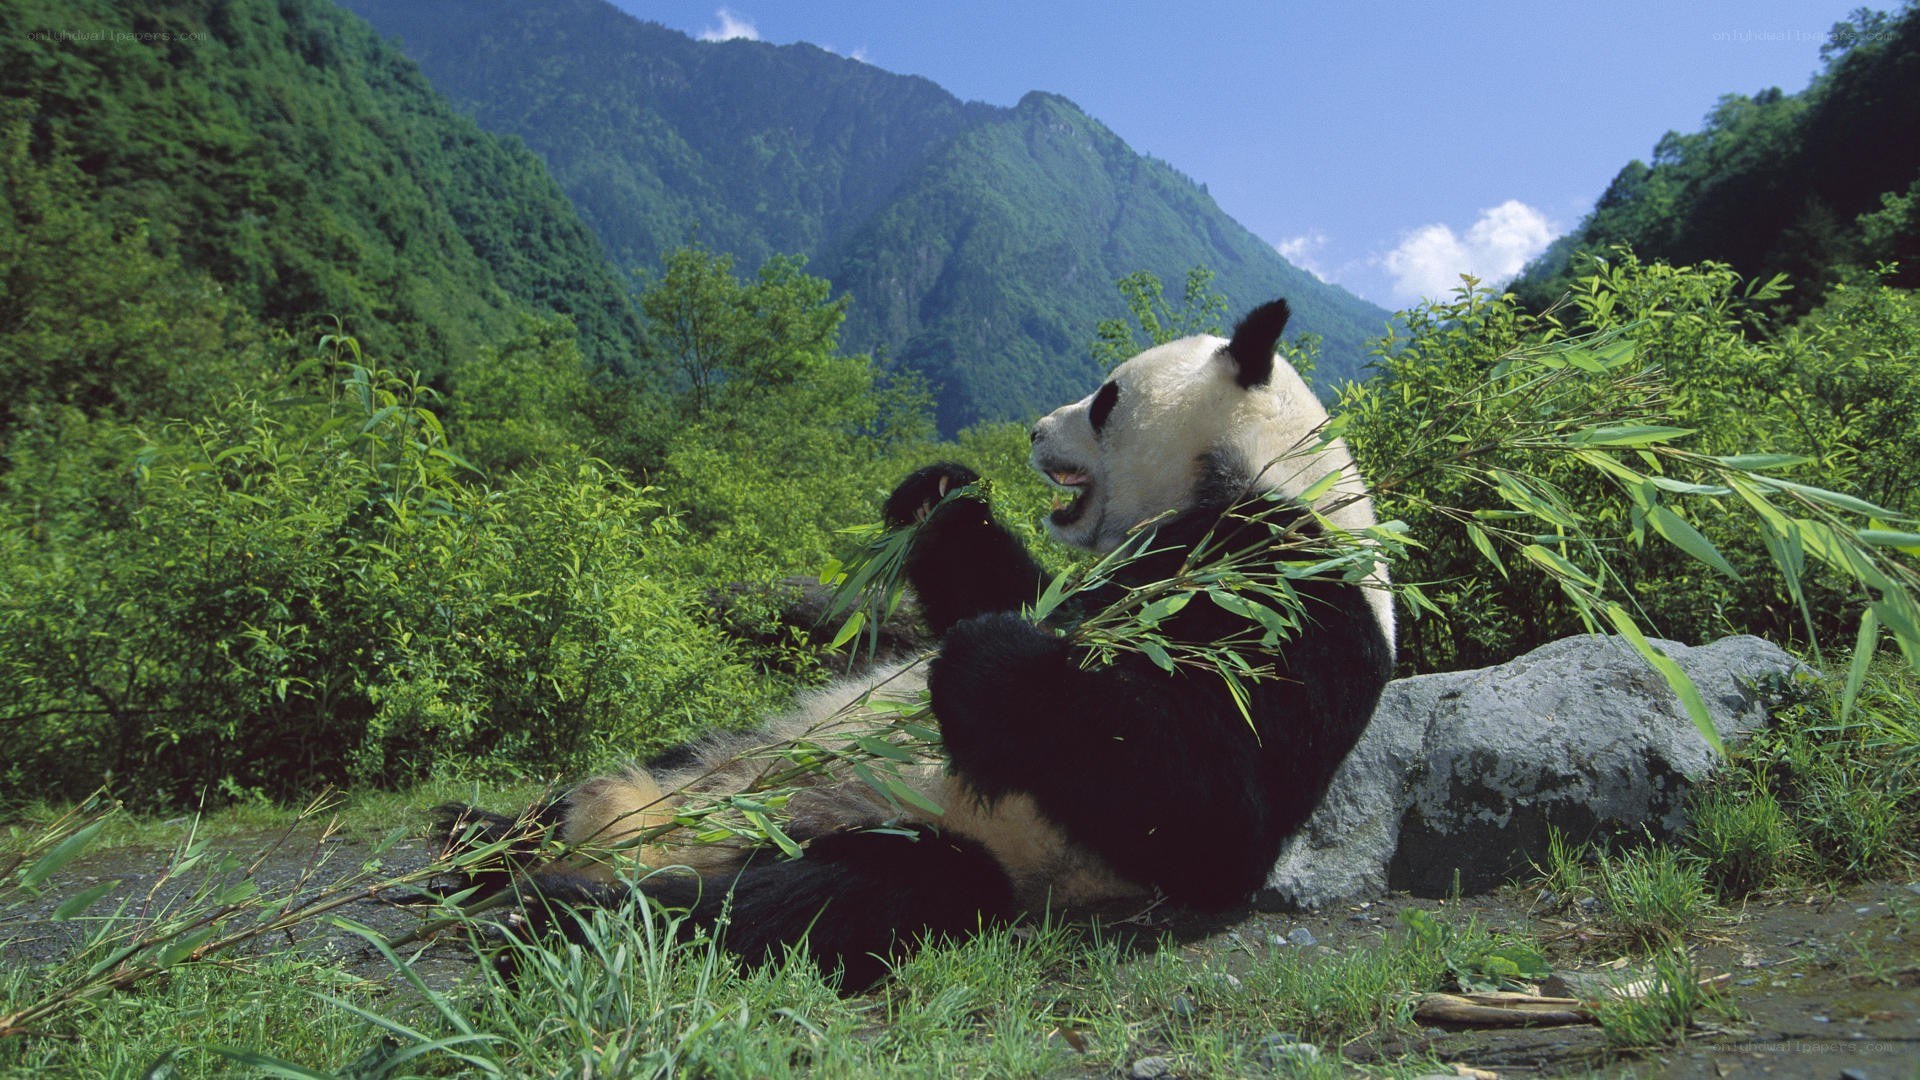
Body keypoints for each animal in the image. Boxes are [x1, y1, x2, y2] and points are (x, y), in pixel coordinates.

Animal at [450, 298, 1396, 989]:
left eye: (1104, 399)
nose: (1032, 430)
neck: (1259, 471)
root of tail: (661, 830)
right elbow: (1012, 586)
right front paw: (940, 491)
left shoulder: (1295, 594)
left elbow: (1216, 808)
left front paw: (992, 663)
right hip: (732, 748)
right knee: (627, 782)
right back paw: (483, 838)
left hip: (924, 833)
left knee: (825, 898)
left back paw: (560, 911)